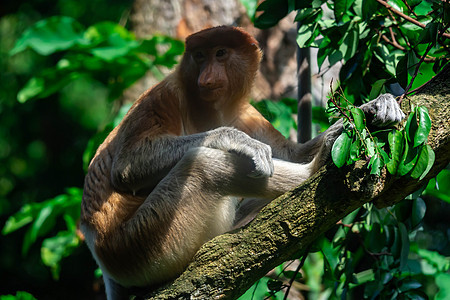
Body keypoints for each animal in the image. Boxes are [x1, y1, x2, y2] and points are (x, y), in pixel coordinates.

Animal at [80, 26, 404, 300]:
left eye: (220, 53)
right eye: (199, 56)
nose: (207, 77)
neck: (206, 106)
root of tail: (98, 249)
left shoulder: (246, 114)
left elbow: (292, 153)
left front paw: (374, 106)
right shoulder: (164, 95)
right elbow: (126, 167)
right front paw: (237, 139)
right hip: (140, 244)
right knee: (202, 166)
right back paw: (316, 166)